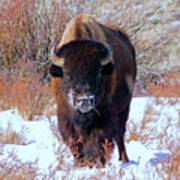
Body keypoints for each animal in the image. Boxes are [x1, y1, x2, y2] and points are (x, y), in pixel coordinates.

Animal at [49, 14, 136, 167]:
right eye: (68, 73)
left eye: (98, 73)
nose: (84, 100)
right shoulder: (65, 116)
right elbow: (74, 142)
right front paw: (79, 164)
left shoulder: (104, 116)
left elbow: (98, 141)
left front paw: (96, 163)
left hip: (124, 108)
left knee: (120, 135)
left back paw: (124, 160)